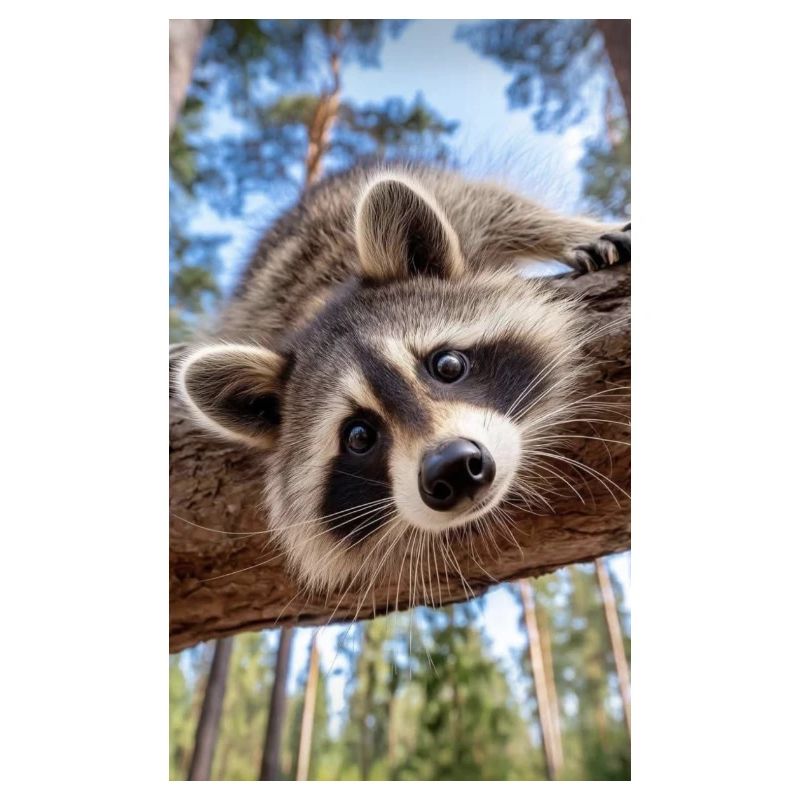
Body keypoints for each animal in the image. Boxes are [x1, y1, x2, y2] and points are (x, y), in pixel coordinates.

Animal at [176, 164, 630, 595]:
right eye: (358, 436)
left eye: (447, 366)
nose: (453, 468)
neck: (320, 302)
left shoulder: (463, 210)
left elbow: (502, 207)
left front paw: (572, 231)